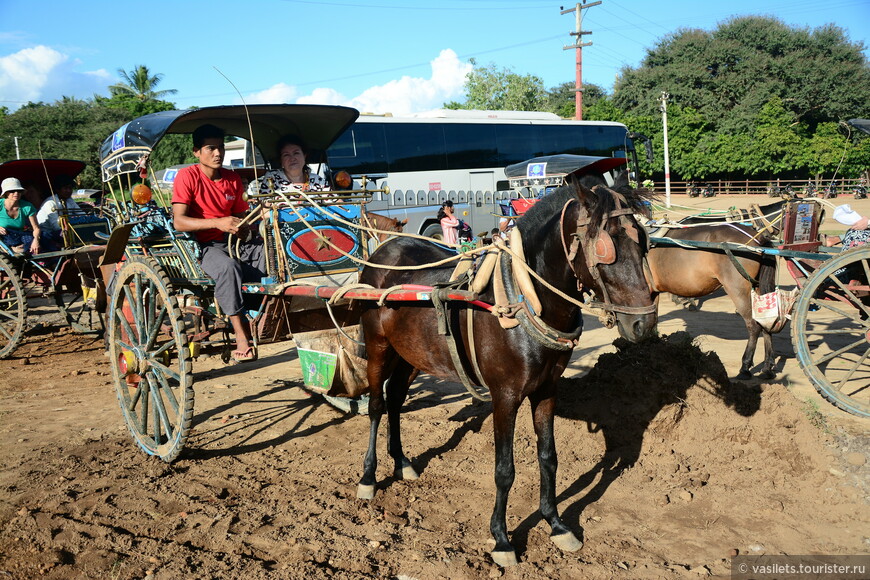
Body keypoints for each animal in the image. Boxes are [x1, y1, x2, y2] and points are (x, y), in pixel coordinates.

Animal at [352, 171, 656, 568]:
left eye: (643, 242)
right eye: (605, 247)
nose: (643, 325)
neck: (522, 298)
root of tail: (381, 253)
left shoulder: (547, 390)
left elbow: (549, 458)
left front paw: (556, 523)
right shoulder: (505, 396)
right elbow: (504, 470)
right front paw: (501, 539)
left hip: (411, 355)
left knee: (395, 399)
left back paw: (401, 461)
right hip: (378, 347)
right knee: (376, 405)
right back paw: (369, 477)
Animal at [652, 223, 780, 380]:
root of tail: (758, 238)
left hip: (737, 288)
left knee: (754, 326)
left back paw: (745, 367)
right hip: (759, 287)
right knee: (766, 323)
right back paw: (767, 368)